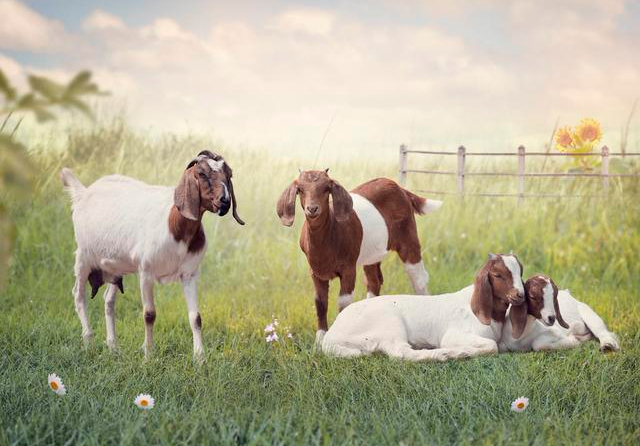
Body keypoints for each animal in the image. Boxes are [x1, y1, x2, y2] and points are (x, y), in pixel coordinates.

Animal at [60, 150, 245, 358]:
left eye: (229, 174)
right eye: (202, 173)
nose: (225, 202)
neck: (175, 227)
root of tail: (83, 193)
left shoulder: (190, 274)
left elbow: (196, 317)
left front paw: (199, 357)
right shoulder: (146, 272)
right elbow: (149, 314)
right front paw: (148, 354)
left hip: (116, 266)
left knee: (108, 299)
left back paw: (113, 346)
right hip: (83, 256)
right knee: (78, 295)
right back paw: (88, 341)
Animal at [278, 169, 442, 344]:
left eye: (326, 189)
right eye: (300, 190)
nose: (312, 208)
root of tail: (399, 187)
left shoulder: (348, 267)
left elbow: (344, 302)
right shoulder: (315, 271)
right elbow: (320, 302)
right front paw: (319, 340)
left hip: (408, 235)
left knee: (418, 277)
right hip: (372, 252)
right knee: (374, 282)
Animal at [322, 253, 524, 360]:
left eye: (520, 272)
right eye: (497, 275)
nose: (520, 295)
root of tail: (331, 336)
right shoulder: (454, 334)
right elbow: (491, 345)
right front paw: (464, 351)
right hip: (389, 324)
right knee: (401, 353)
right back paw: (443, 354)